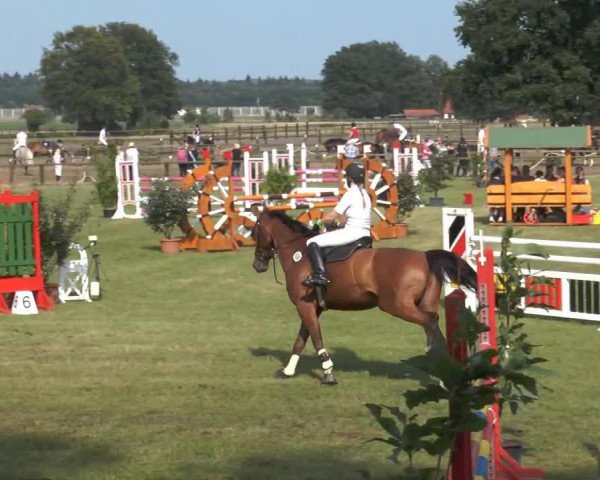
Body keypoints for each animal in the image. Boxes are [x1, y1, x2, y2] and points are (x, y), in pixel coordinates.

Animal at [251, 208, 476, 384]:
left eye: (255, 231)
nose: (257, 265)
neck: (298, 253)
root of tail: (424, 256)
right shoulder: (312, 307)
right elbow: (301, 339)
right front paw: (288, 371)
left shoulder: (304, 306)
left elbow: (315, 338)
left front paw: (328, 372)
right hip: (423, 303)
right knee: (433, 324)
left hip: (397, 305)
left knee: (430, 322)